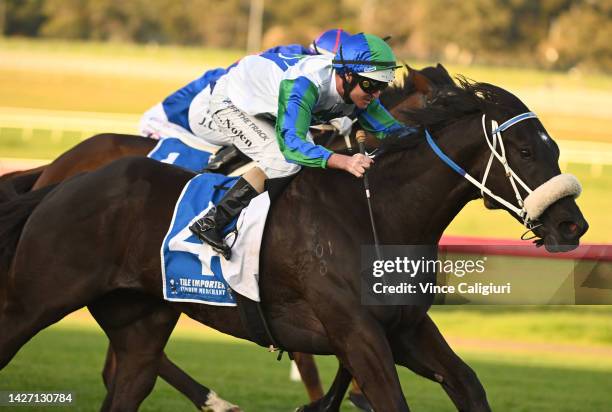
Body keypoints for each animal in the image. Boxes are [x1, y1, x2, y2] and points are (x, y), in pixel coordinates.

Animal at [0, 79, 588, 410]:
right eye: (524, 150)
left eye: (554, 147)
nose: (573, 227)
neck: (377, 214)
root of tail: (62, 178)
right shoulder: (356, 334)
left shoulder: (405, 330)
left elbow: (467, 385)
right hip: (34, 299)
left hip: (139, 321)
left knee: (128, 377)